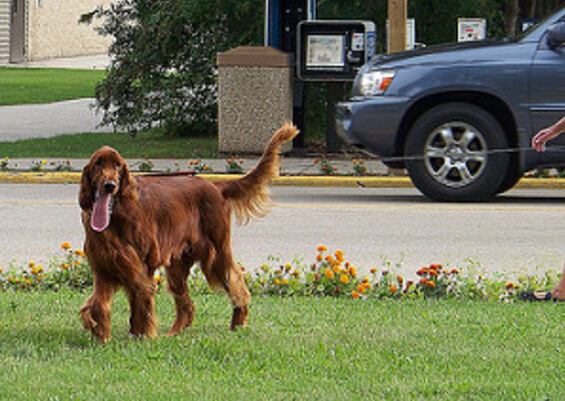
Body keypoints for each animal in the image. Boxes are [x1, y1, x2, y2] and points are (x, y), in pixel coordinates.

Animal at [78, 123, 298, 342]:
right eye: (98, 164)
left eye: (117, 166)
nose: (109, 185)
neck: (114, 217)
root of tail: (214, 185)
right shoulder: (105, 266)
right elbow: (99, 303)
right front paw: (101, 335)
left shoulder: (141, 265)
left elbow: (141, 300)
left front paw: (142, 335)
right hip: (178, 265)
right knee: (186, 304)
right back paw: (174, 332)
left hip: (218, 253)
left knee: (237, 286)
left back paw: (237, 323)